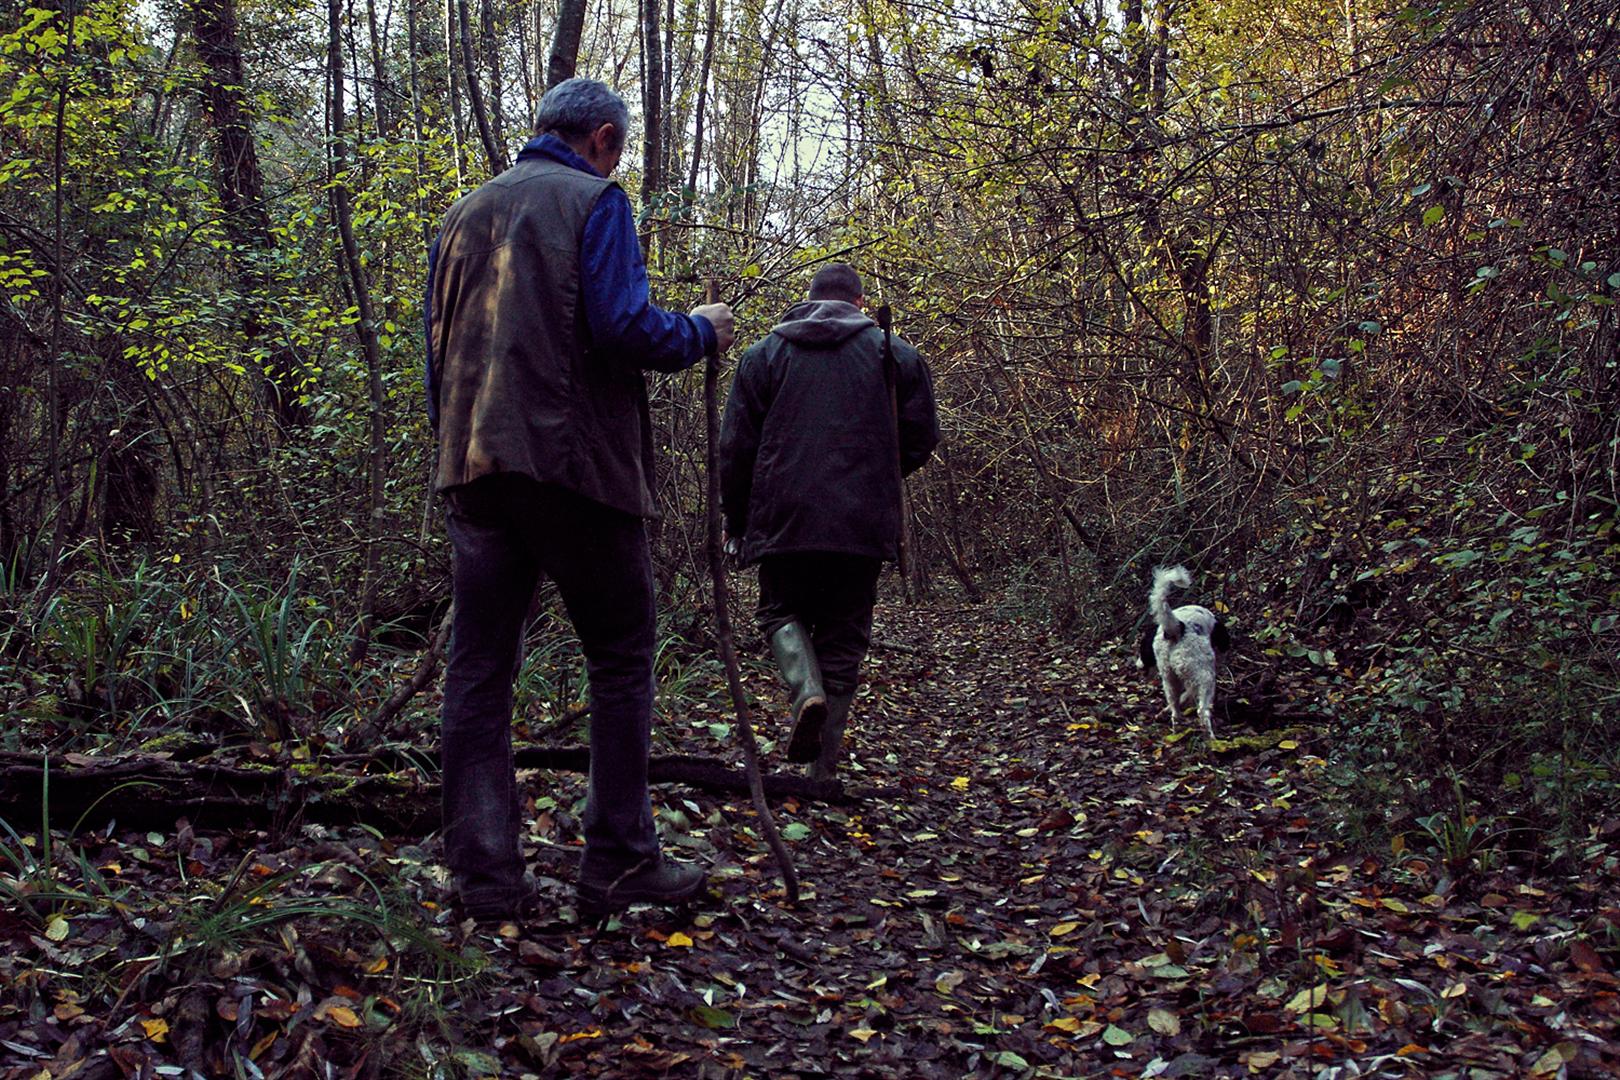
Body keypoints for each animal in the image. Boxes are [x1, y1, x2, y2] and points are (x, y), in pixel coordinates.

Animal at [1140, 566, 1224, 735]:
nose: (1138, 665)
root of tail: (1176, 628)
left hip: (1169, 678)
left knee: (1175, 710)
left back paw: (1176, 729)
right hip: (1205, 677)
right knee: (1202, 711)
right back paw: (1211, 737)